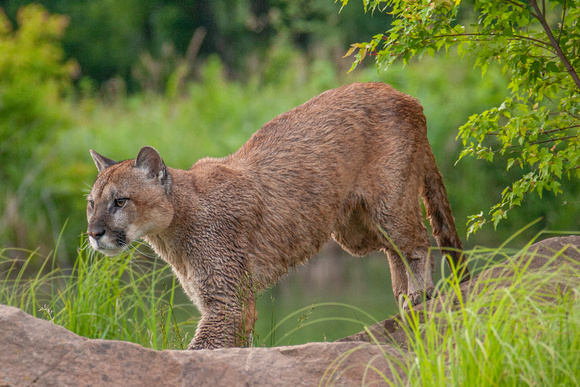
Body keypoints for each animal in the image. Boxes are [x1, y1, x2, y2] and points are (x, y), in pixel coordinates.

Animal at [87, 82, 472, 352]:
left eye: (119, 201)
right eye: (92, 204)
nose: (94, 233)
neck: (171, 228)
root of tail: (404, 95)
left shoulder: (226, 302)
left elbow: (201, 350)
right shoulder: (230, 301)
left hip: (388, 202)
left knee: (417, 240)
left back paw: (419, 298)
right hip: (354, 230)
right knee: (394, 247)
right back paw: (404, 297)